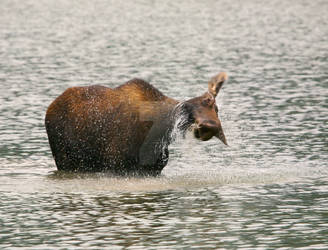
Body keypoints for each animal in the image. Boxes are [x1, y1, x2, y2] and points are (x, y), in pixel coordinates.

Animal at [44, 72, 228, 176]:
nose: (207, 126)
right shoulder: (116, 165)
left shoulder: (153, 169)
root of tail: (49, 108)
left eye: (217, 109)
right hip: (65, 159)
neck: (159, 133)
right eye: (208, 104)